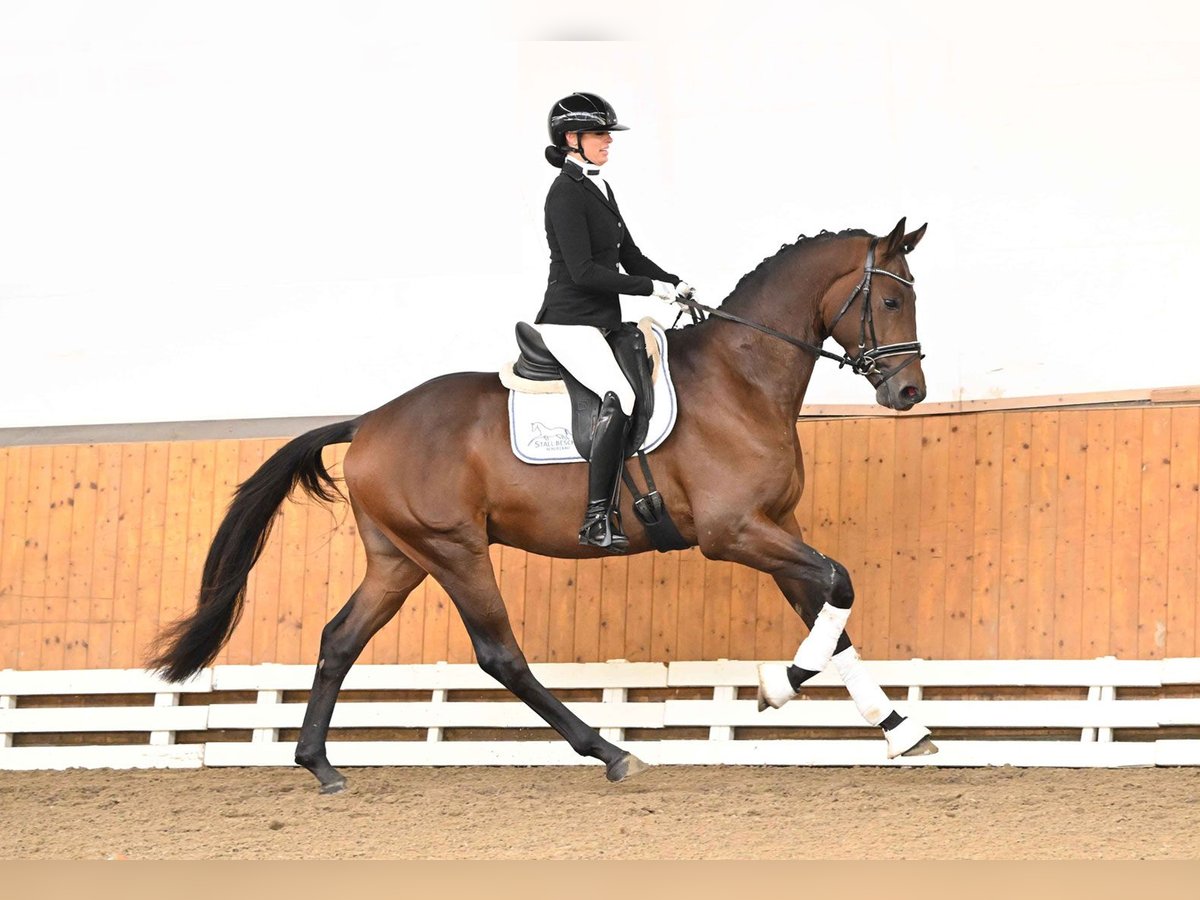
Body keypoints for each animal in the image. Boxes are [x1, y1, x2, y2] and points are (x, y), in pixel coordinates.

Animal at [152, 218, 936, 796]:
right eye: (892, 301)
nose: (908, 393)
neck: (742, 377)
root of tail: (370, 421)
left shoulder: (777, 524)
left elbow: (829, 614)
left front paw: (899, 727)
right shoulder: (734, 532)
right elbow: (838, 585)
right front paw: (777, 688)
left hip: (400, 558)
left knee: (340, 639)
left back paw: (319, 765)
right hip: (454, 549)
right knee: (500, 654)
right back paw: (611, 752)